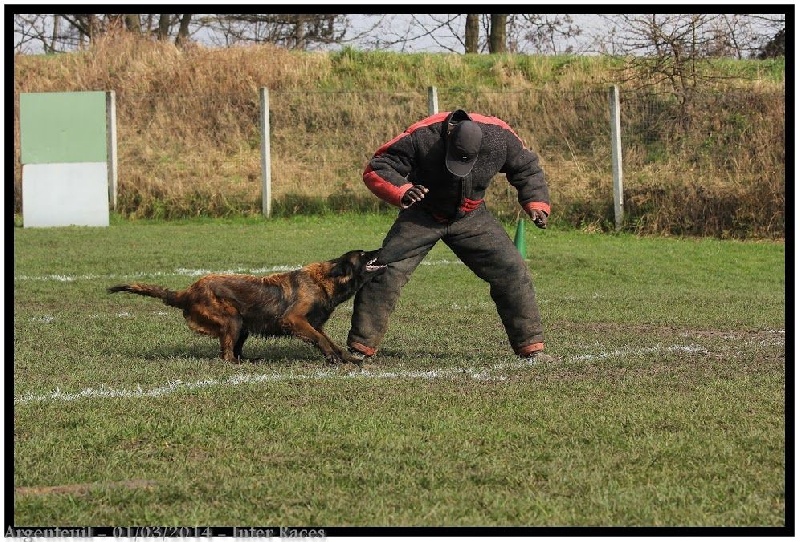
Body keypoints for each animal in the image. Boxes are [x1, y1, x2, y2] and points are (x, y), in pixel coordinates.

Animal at [108, 251, 384, 366]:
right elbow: (321, 340)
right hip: (232, 320)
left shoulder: (313, 323)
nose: (381, 248)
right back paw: (240, 364)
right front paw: (333, 358)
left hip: (242, 326)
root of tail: (186, 292)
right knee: (227, 355)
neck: (323, 280)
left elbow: (330, 341)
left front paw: (348, 357)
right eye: (362, 254)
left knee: (235, 350)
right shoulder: (294, 320)